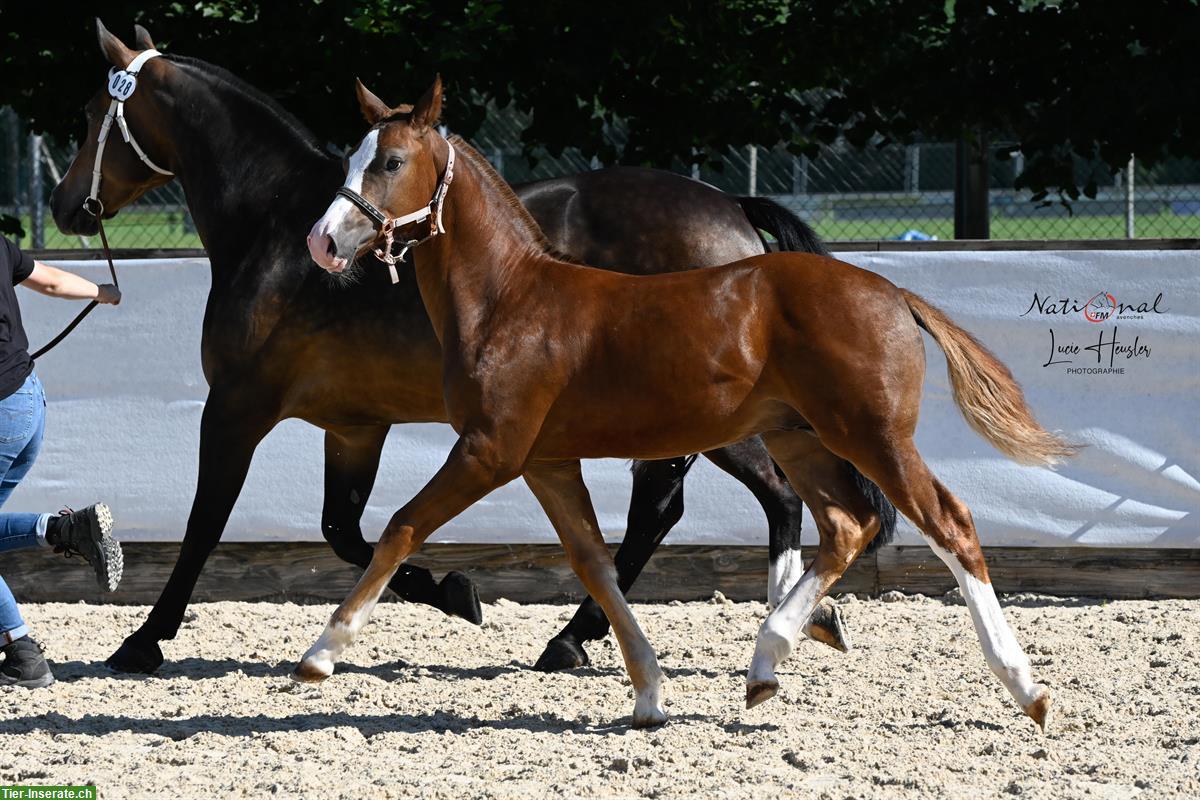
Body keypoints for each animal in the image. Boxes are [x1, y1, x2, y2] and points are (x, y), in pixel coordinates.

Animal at [49, 23, 883, 676]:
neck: (276, 228)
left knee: (715, 502)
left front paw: (143, 641)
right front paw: (452, 592)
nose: (63, 205)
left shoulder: (235, 407)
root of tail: (731, 212)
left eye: (91, 113)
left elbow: (205, 525)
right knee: (722, 503)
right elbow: (343, 531)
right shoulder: (354, 425)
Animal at [295, 77, 1075, 729]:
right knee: (845, 525)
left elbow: (401, 527)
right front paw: (646, 694)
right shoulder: (547, 461)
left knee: (948, 523)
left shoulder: (491, 449)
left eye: (391, 161)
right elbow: (597, 564)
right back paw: (768, 661)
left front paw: (321, 654)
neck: (510, 300)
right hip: (799, 437)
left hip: (872, 435)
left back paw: (1026, 688)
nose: (323, 241)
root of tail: (892, 292)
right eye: (352, 157)